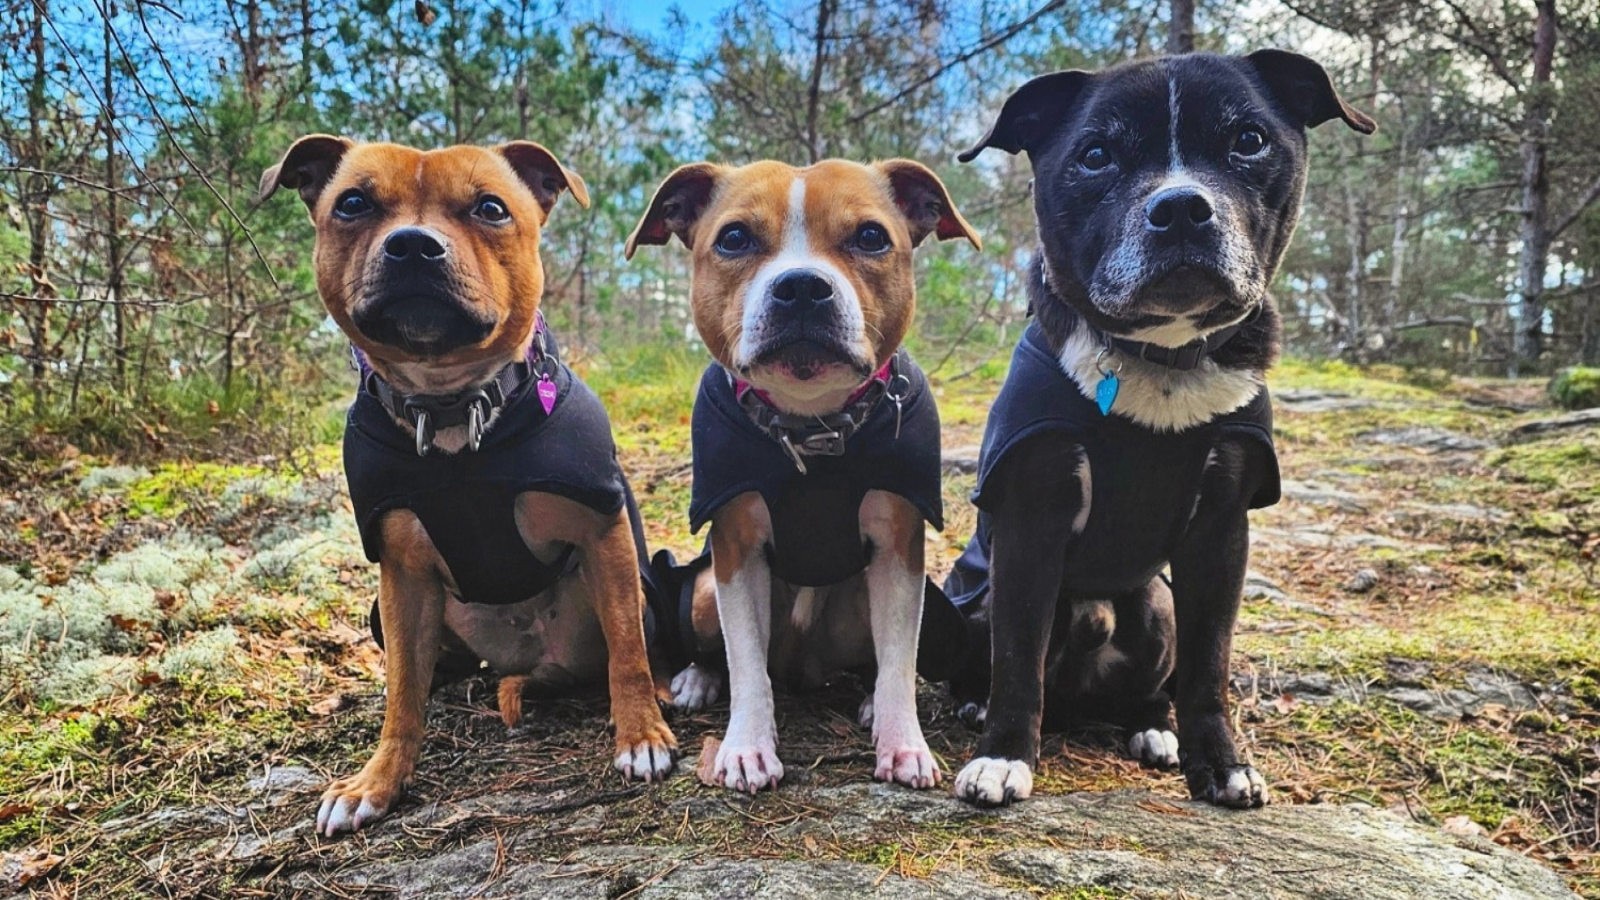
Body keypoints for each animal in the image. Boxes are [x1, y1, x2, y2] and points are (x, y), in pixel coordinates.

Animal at [260, 136, 678, 835]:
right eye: (353, 203)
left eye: (490, 208)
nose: (412, 245)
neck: (452, 405)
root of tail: (527, 663)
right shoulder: (400, 574)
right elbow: (401, 695)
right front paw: (378, 780)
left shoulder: (604, 533)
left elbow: (628, 652)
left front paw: (641, 734)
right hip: (384, 613)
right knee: (431, 671)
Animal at [626, 159, 978, 792]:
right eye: (734, 238)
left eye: (871, 237)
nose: (803, 287)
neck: (812, 428)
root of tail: (802, 667)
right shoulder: (736, 554)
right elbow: (745, 662)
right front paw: (746, 747)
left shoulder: (900, 552)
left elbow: (898, 658)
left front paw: (903, 743)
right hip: (705, 591)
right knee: (734, 656)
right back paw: (698, 678)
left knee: (876, 660)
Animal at [946, 50, 1375, 808]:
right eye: (1095, 155)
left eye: (1249, 141)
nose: (1179, 208)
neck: (1163, 357)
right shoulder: (1030, 525)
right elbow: (1017, 659)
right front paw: (1001, 757)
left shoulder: (1222, 534)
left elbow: (1209, 668)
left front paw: (1223, 765)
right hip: (973, 602)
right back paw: (977, 706)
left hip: (1157, 604)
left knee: (1150, 689)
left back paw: (1155, 730)